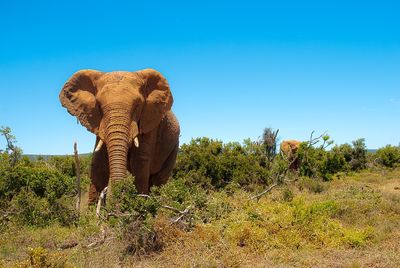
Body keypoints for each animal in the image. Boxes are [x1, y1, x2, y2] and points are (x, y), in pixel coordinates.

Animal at [59, 68, 180, 203]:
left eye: (137, 106)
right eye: (99, 106)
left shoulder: (150, 123)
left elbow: (139, 162)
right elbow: (99, 163)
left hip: (174, 147)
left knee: (158, 180)